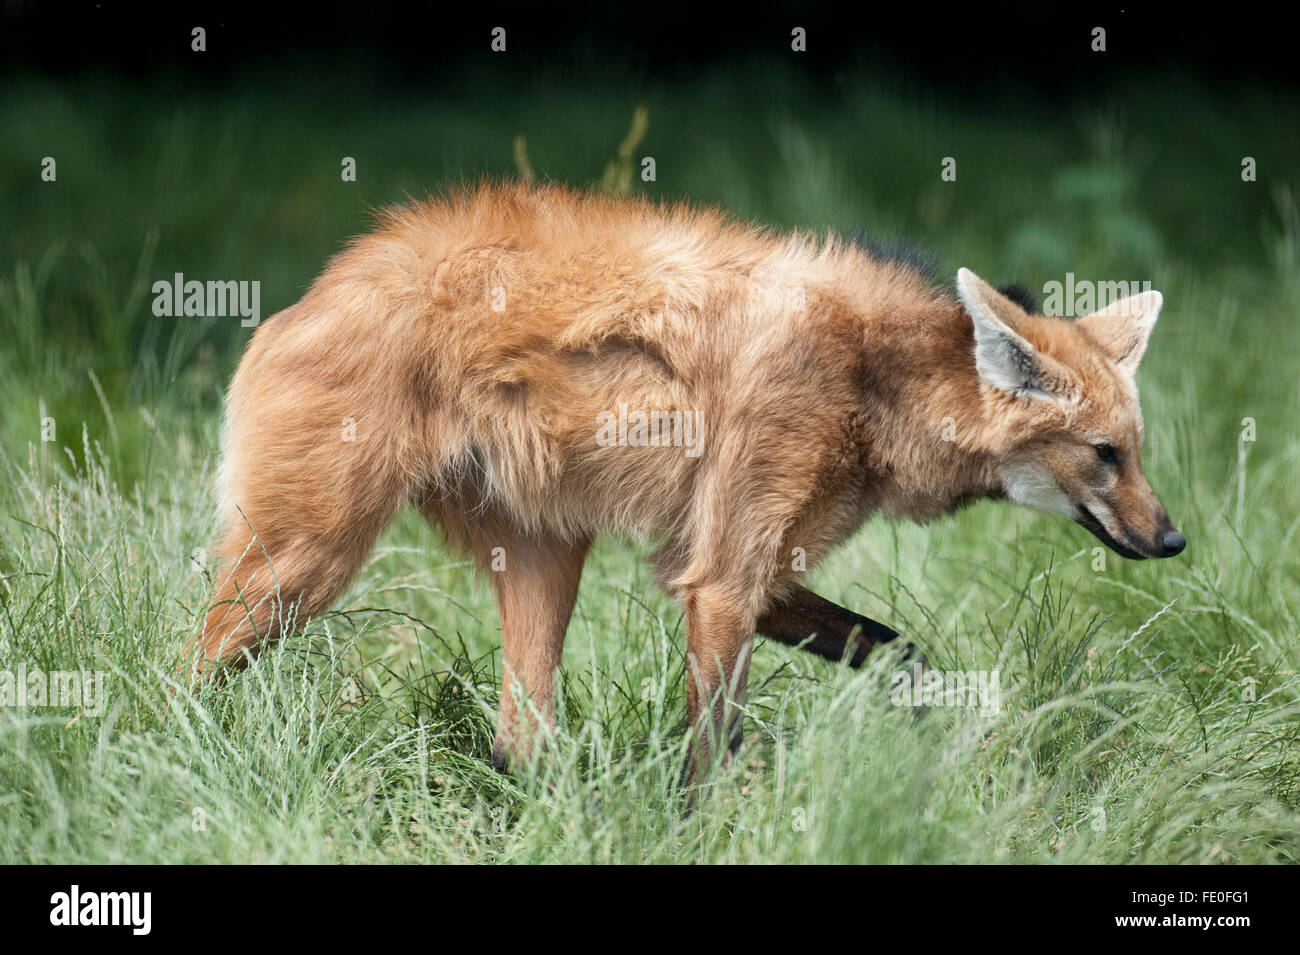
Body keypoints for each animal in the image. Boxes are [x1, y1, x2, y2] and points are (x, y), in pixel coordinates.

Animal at [188, 180, 1185, 779]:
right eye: (1105, 453)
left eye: (1136, 452)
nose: (1173, 538)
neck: (876, 379)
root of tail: (312, 290)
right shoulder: (721, 582)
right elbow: (715, 745)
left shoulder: (737, 569)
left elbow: (900, 649)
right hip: (306, 561)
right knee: (185, 669)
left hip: (544, 550)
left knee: (520, 738)